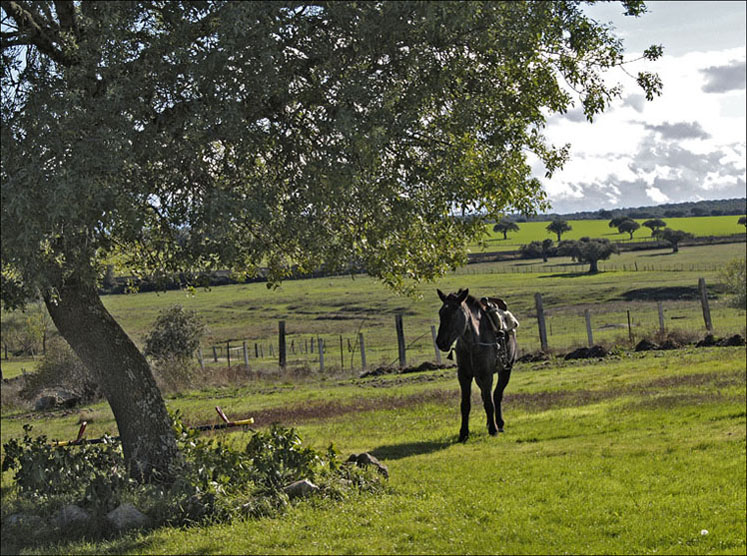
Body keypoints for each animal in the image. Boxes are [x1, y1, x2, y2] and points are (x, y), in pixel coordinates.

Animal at [436, 288, 516, 440]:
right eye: (441, 312)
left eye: (455, 313)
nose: (440, 342)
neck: (472, 345)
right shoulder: (464, 376)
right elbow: (466, 404)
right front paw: (463, 433)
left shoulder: (486, 375)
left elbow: (490, 402)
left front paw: (493, 430)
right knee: (486, 396)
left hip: (505, 370)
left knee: (496, 395)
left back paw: (499, 424)